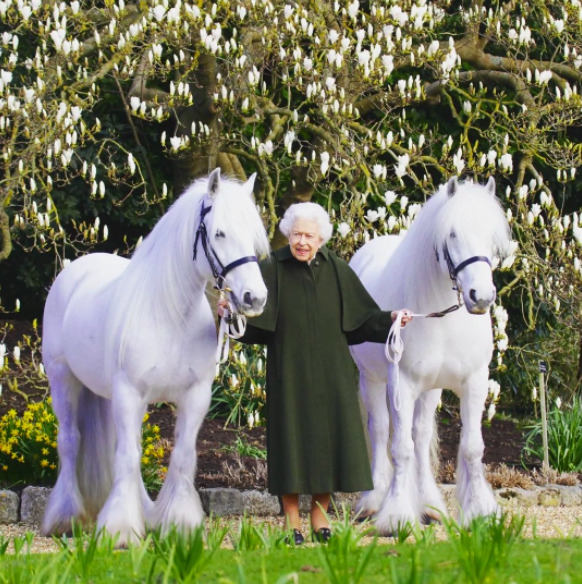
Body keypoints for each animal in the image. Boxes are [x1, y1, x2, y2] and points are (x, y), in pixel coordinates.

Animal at [41, 170, 270, 548]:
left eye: (253, 237)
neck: (170, 314)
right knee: (70, 441)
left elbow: (181, 457)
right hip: (63, 380)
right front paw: (120, 531)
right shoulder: (130, 394)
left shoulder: (195, 397)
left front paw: (179, 525)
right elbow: (128, 458)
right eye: (220, 233)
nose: (255, 298)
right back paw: (65, 518)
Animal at [350, 177, 512, 532]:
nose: (481, 297)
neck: (442, 317)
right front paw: (396, 516)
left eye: (491, 235)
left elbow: (470, 447)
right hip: (372, 380)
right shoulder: (403, 384)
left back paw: (429, 505)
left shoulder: (474, 382)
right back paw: (374, 500)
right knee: (380, 430)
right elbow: (400, 448)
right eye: (451, 234)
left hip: (431, 389)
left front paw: (480, 512)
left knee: (421, 435)